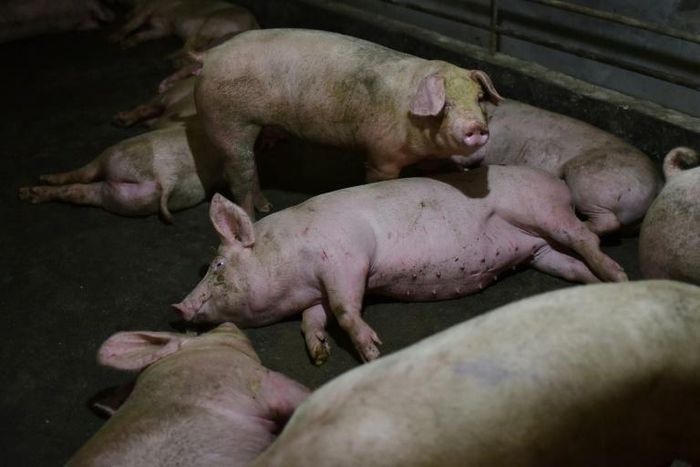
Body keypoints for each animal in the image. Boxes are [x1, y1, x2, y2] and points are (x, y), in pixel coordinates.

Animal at [18, 118, 222, 222]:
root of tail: (166, 175)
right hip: (127, 192)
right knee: (79, 184)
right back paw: (32, 190)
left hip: (116, 171)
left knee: (78, 182)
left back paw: (29, 190)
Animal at [111, 0, 258, 52]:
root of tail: (254, 25)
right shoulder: (163, 29)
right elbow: (146, 34)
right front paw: (126, 45)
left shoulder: (149, 7)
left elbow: (133, 22)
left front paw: (113, 39)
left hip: (214, 22)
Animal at [174, 165, 627, 365]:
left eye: (218, 264)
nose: (178, 307)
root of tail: (559, 183)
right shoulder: (317, 287)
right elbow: (312, 317)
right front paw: (319, 354)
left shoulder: (346, 258)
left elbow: (345, 308)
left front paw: (373, 352)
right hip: (540, 252)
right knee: (573, 262)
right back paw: (598, 285)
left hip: (543, 211)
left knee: (587, 237)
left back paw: (619, 276)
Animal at [193, 28, 503, 217]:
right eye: (446, 104)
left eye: (479, 99)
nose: (477, 127)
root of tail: (208, 56)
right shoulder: (381, 155)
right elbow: (379, 179)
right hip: (227, 122)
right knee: (239, 177)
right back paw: (253, 216)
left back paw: (266, 206)